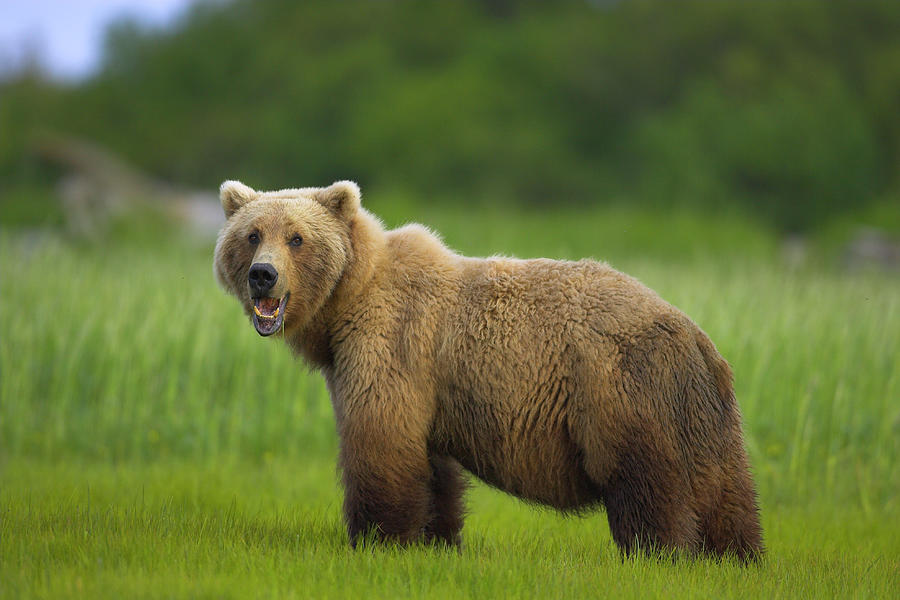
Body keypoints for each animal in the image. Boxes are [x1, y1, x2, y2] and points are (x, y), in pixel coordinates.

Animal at [214, 180, 764, 560]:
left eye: (297, 238)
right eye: (252, 234)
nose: (263, 275)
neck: (348, 301)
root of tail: (694, 335)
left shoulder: (392, 347)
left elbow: (381, 441)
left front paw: (375, 538)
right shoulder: (428, 385)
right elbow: (433, 466)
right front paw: (436, 540)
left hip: (623, 390)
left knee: (646, 485)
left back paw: (657, 553)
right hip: (702, 412)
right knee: (726, 491)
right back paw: (733, 557)